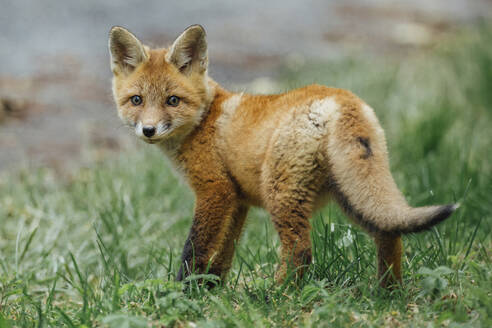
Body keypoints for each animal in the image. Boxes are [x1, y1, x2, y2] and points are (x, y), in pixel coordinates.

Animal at [108, 25, 458, 288]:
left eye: (173, 100)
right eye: (136, 100)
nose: (149, 130)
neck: (204, 119)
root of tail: (341, 99)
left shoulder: (215, 191)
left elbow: (195, 250)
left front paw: (184, 293)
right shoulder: (238, 201)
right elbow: (224, 254)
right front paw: (212, 289)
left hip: (283, 194)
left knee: (300, 251)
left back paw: (275, 296)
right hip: (355, 195)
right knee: (389, 234)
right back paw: (388, 292)